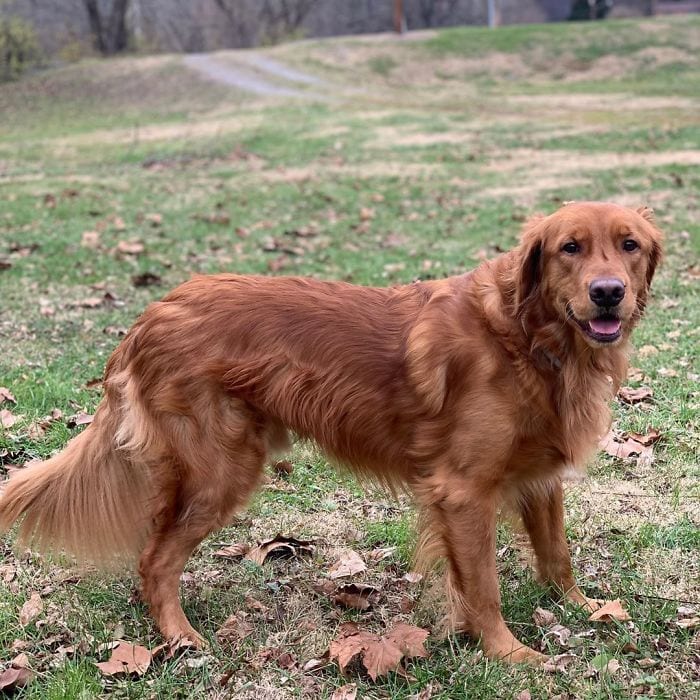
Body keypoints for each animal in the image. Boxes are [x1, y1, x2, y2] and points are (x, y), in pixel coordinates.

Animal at [1, 201, 660, 660]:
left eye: (628, 245)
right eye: (570, 248)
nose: (608, 294)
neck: (528, 337)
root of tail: (148, 317)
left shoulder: (540, 478)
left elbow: (557, 555)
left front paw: (583, 608)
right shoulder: (463, 492)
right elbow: (483, 588)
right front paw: (509, 653)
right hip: (220, 472)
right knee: (155, 560)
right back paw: (182, 637)